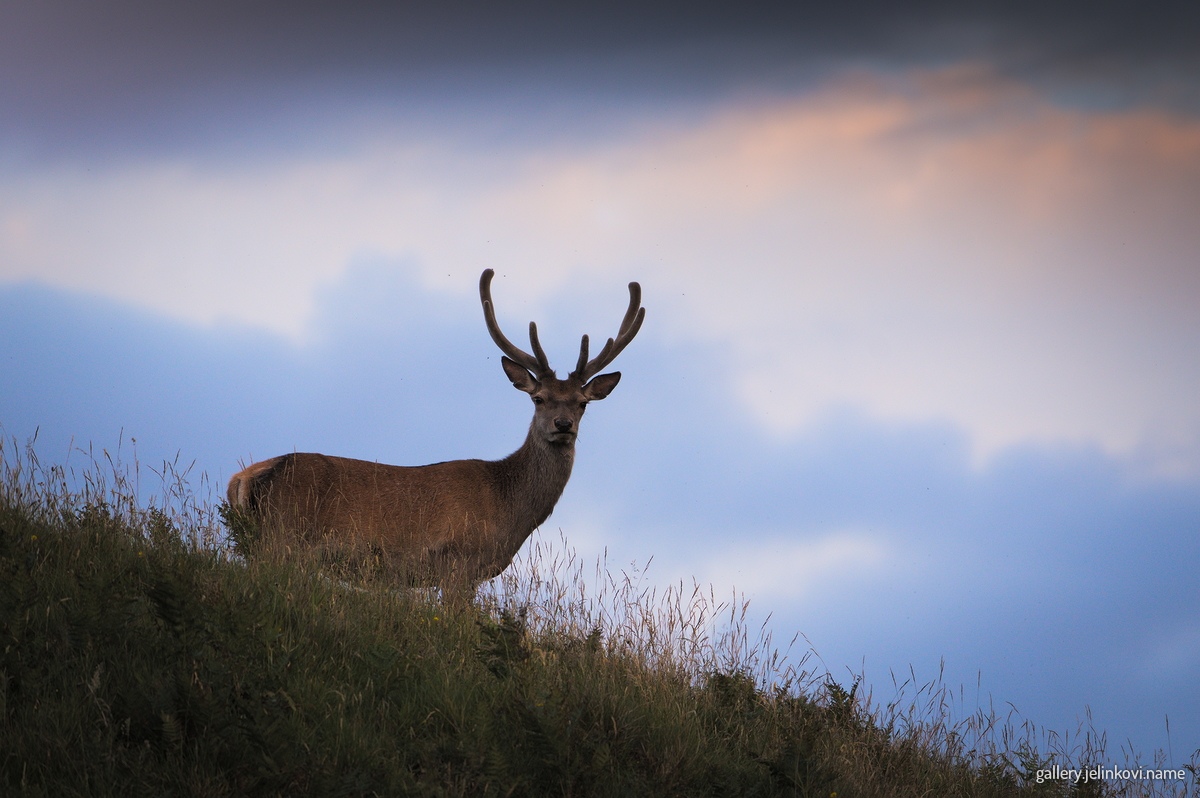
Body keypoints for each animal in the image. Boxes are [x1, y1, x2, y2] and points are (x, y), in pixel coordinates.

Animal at [225, 268, 644, 598]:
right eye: (538, 399)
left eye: (582, 403)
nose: (563, 425)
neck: (508, 508)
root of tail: (244, 479)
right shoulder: (458, 563)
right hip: (282, 538)